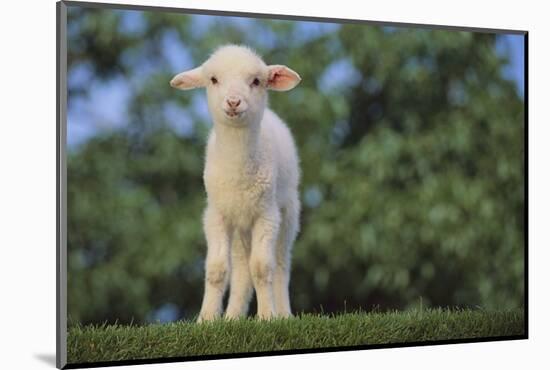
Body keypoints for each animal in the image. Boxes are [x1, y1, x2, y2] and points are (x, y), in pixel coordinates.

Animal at [171, 44, 304, 320]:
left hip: (288, 211)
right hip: (240, 224)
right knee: (242, 267)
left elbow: (262, 267)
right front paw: (206, 319)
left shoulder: (267, 214)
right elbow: (216, 268)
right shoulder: (216, 214)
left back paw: (283, 314)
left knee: (281, 263)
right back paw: (233, 317)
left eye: (256, 81)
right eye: (213, 79)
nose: (233, 101)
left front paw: (266, 317)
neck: (238, 173)